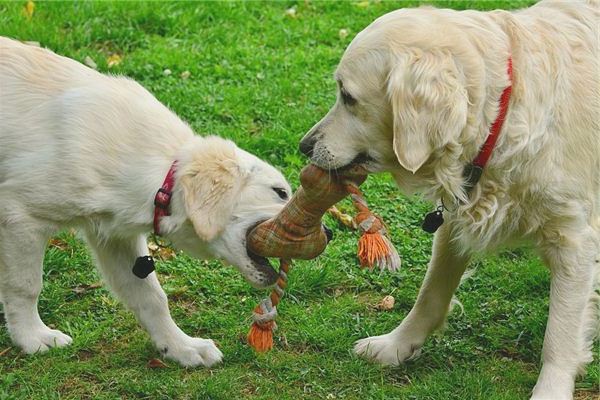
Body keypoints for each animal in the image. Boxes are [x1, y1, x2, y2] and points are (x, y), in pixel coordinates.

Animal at [0, 36, 290, 368]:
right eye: (280, 192)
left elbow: (151, 297)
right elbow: (25, 285)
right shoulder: (20, 215)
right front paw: (32, 338)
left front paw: (180, 347)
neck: (162, 175)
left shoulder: (114, 236)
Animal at [300, 1, 600, 398]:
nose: (304, 146)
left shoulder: (573, 239)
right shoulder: (454, 222)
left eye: (348, 96)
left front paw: (550, 389)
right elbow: (431, 293)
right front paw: (395, 345)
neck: (503, 114)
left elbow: (560, 334)